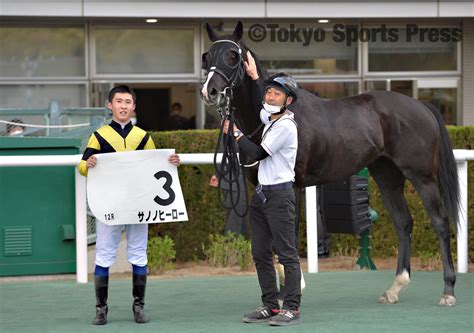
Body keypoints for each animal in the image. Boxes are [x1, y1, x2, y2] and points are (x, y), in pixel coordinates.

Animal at [200, 21, 460, 306]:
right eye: (207, 57)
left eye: (232, 56)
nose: (210, 92)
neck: (272, 118)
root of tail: (422, 106)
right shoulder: (260, 186)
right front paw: (279, 296)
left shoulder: (292, 185)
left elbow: (287, 236)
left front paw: (291, 292)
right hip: (387, 176)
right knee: (403, 223)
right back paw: (395, 288)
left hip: (422, 176)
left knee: (440, 222)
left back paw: (448, 290)